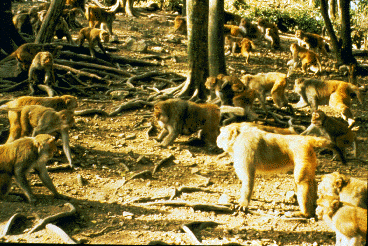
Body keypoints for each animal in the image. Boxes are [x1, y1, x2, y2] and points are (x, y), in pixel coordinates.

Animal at [216, 123, 344, 217]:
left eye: (222, 135)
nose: (217, 139)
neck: (239, 135)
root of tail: (303, 139)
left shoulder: (244, 146)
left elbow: (248, 178)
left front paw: (243, 203)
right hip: (309, 154)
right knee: (309, 180)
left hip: (303, 152)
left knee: (301, 181)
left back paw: (305, 213)